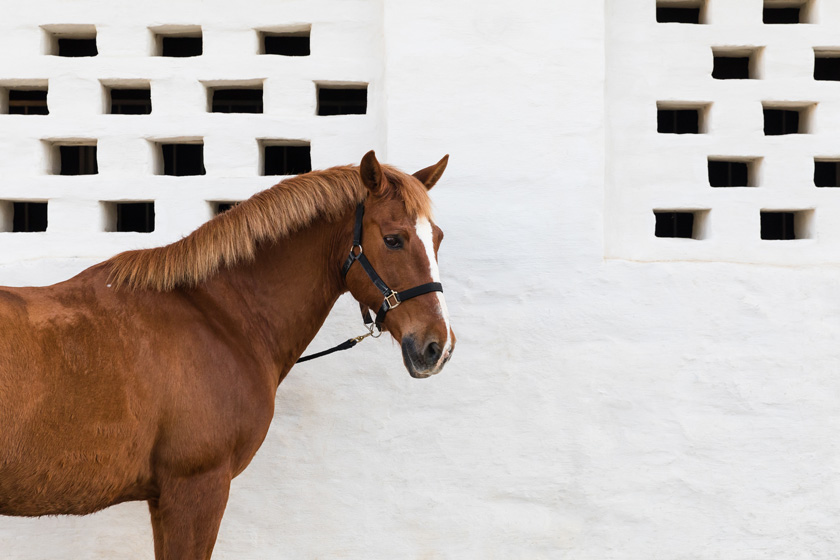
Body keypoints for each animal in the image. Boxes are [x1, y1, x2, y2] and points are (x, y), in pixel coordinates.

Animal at [0, 150, 455, 559]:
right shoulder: (196, 488)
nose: (438, 347)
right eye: (393, 240)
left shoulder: (163, 497)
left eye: (437, 238)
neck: (218, 315)